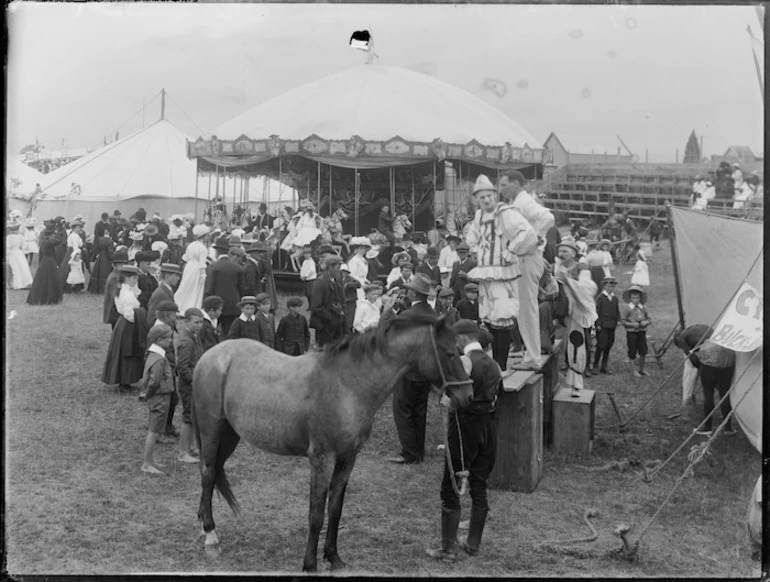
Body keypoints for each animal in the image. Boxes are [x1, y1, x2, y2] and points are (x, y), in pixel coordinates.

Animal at [190, 318, 474, 572]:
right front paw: (310, 564)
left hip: (230, 435)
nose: (468, 396)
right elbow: (316, 515)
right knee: (207, 473)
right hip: (212, 430)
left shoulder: (348, 458)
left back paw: (203, 523)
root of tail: (209, 356)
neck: (347, 385)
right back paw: (211, 536)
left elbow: (335, 509)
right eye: (450, 353)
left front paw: (333, 558)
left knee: (213, 472)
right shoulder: (322, 459)